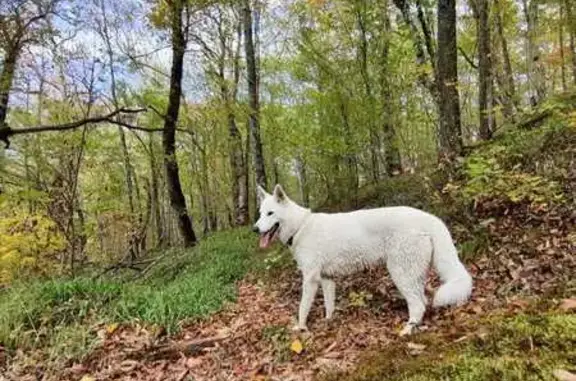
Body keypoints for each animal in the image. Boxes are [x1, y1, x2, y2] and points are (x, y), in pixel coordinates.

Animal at [252, 183, 472, 334]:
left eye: (271, 213)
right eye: (261, 214)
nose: (254, 229)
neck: (300, 226)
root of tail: (430, 218)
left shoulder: (310, 279)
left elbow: (302, 308)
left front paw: (301, 328)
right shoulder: (327, 279)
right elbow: (329, 306)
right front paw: (328, 322)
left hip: (400, 273)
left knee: (418, 304)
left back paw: (407, 331)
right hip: (411, 274)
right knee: (423, 300)